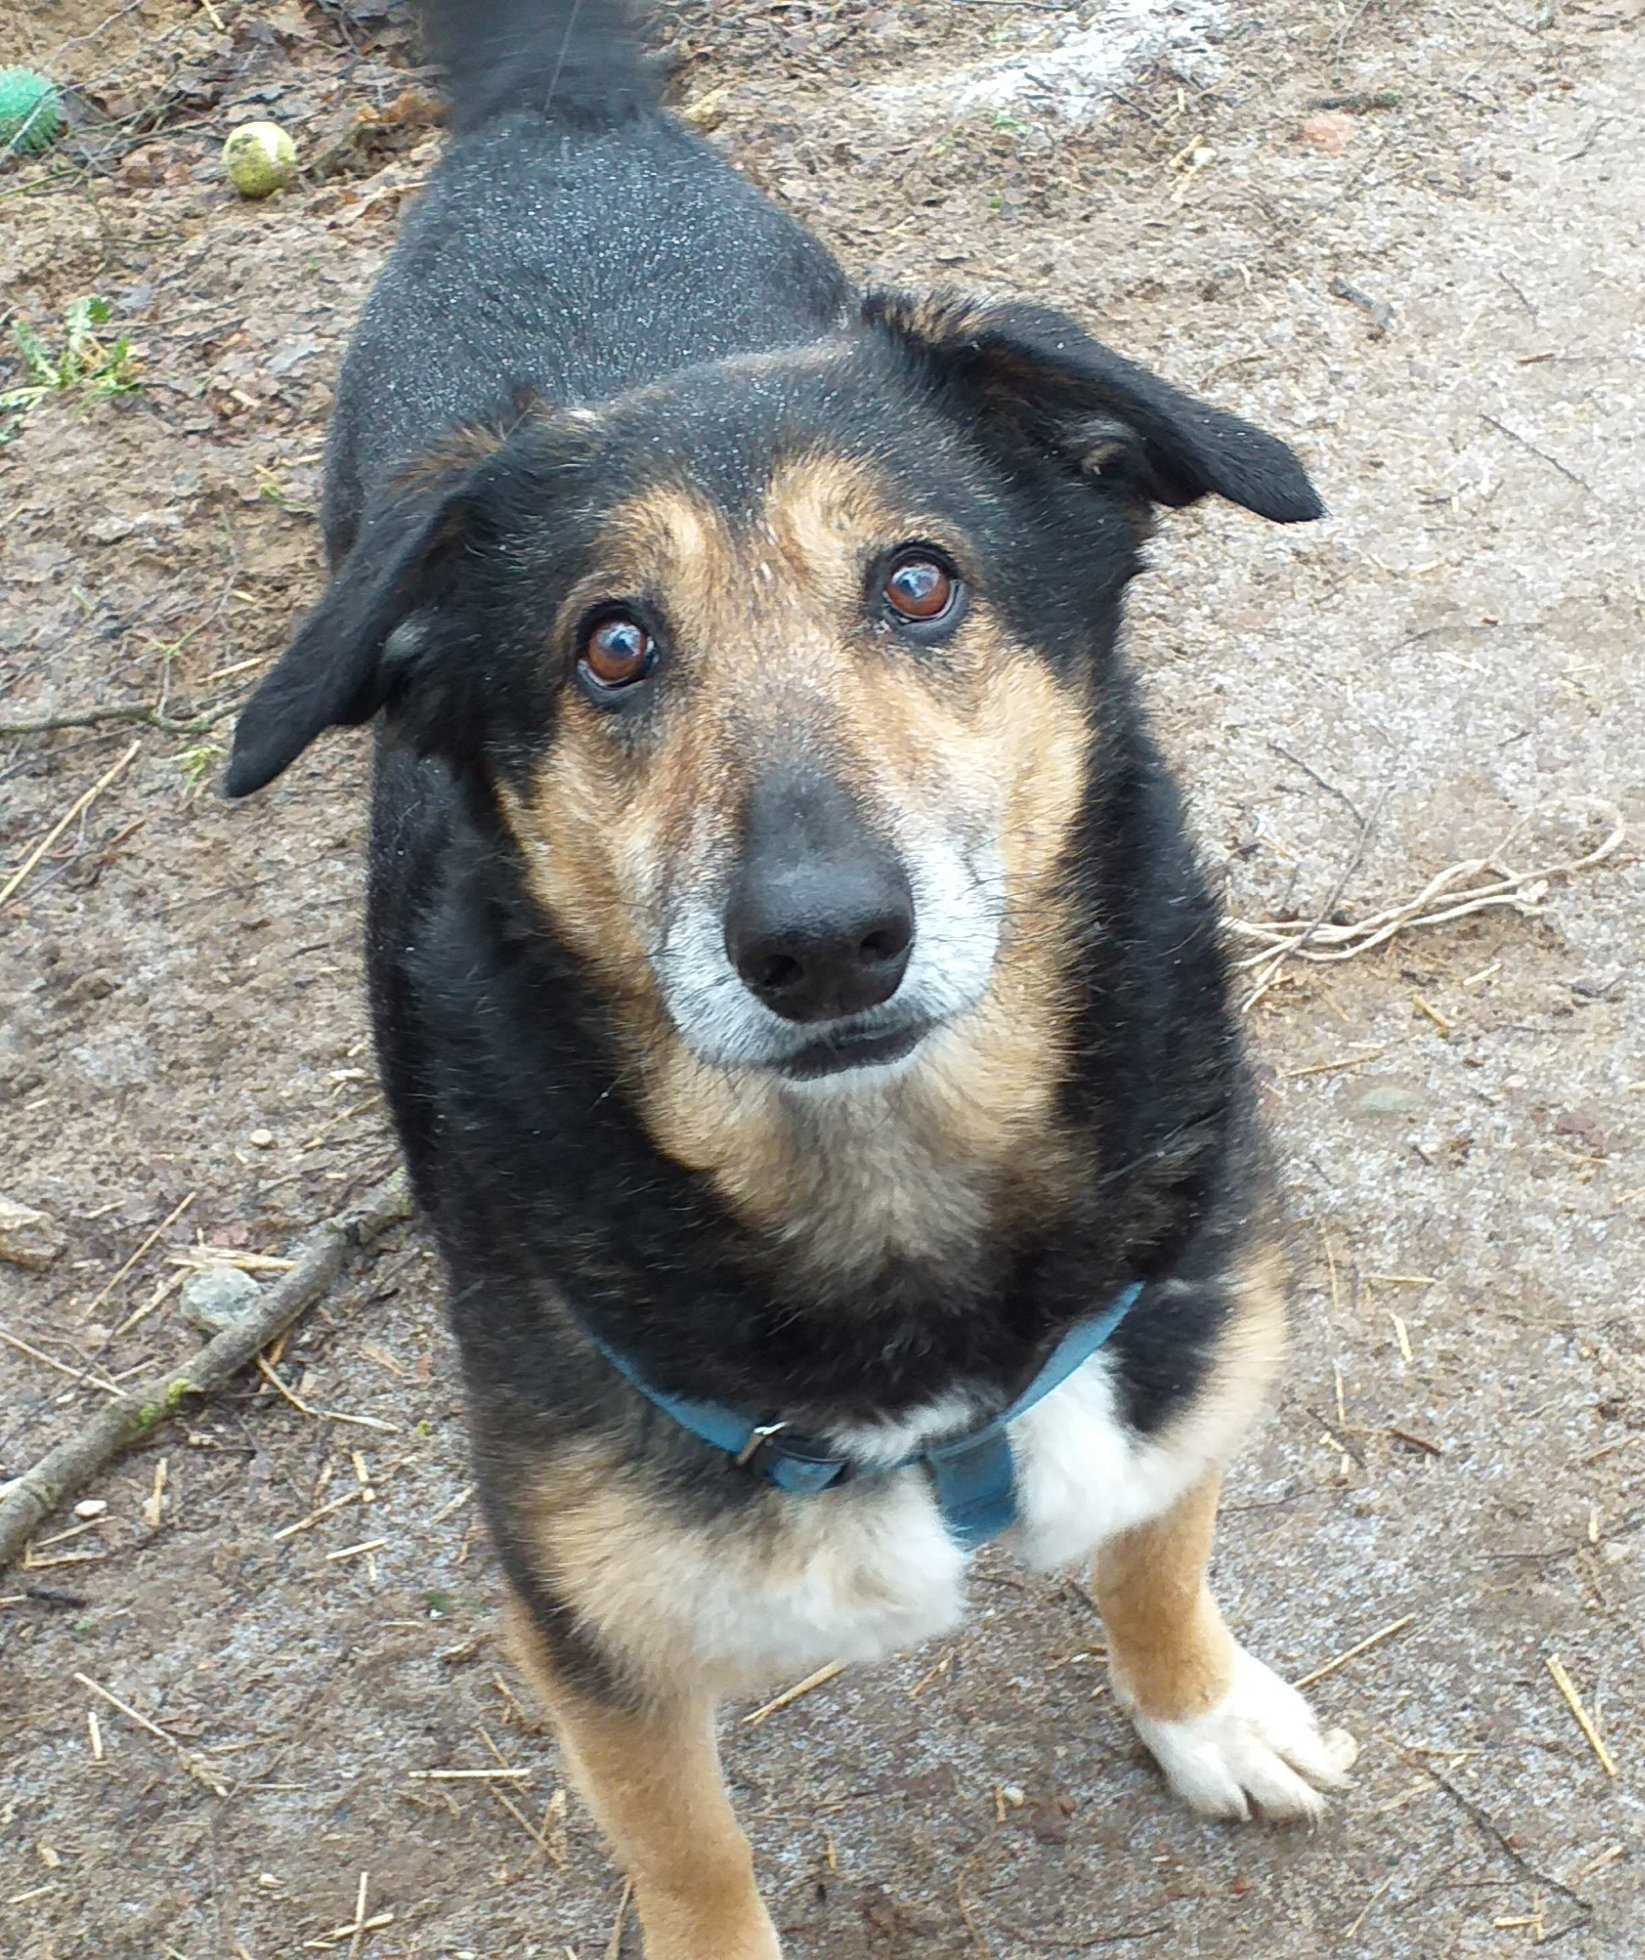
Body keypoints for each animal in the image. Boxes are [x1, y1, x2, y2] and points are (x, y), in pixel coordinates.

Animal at [231, 7, 1356, 1952]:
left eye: (919, 581)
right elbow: (689, 1851)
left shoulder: (1173, 1354)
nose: (823, 942)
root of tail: (562, 112)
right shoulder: (589, 1621)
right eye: (612, 645)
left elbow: (1156, 1553)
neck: (886, 1174)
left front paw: (1202, 1709)